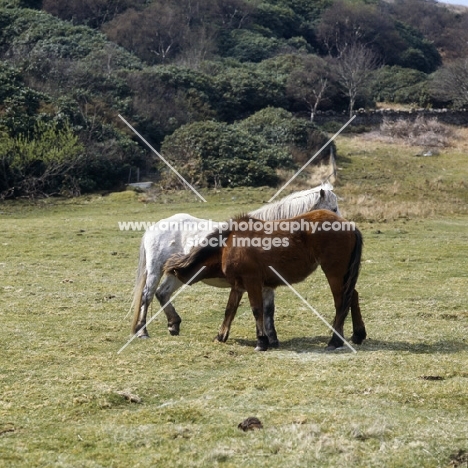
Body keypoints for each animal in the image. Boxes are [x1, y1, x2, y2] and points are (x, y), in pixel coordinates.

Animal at [132, 182, 340, 340]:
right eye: (333, 208)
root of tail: (155, 227)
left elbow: (268, 309)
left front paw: (272, 338)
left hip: (176, 274)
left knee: (162, 293)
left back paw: (173, 325)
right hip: (155, 270)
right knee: (147, 296)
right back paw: (142, 332)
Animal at [165, 211, 366, 352]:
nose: (163, 290)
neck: (229, 244)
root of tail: (348, 225)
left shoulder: (252, 282)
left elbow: (257, 310)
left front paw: (262, 342)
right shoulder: (238, 287)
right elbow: (230, 311)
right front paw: (220, 336)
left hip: (334, 273)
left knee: (341, 302)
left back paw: (335, 340)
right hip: (344, 275)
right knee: (353, 296)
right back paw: (358, 334)